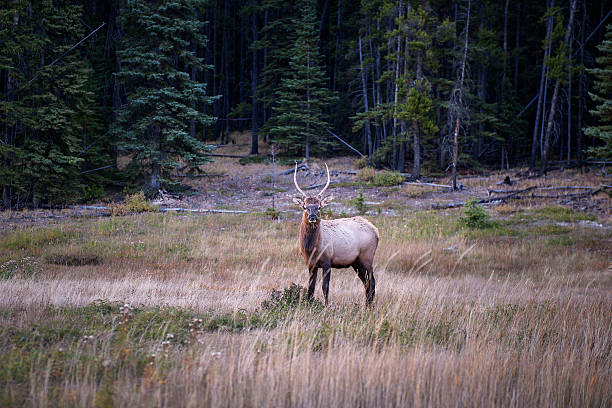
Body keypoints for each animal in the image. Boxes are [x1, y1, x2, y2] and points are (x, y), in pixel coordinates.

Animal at [292, 164, 378, 304]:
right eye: (305, 207)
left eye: (319, 207)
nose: (312, 217)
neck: (312, 248)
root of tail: (376, 231)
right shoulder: (311, 264)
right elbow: (310, 288)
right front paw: (309, 305)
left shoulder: (327, 261)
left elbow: (325, 287)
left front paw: (326, 306)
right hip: (356, 262)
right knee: (366, 283)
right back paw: (367, 306)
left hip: (367, 257)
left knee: (372, 282)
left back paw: (370, 307)